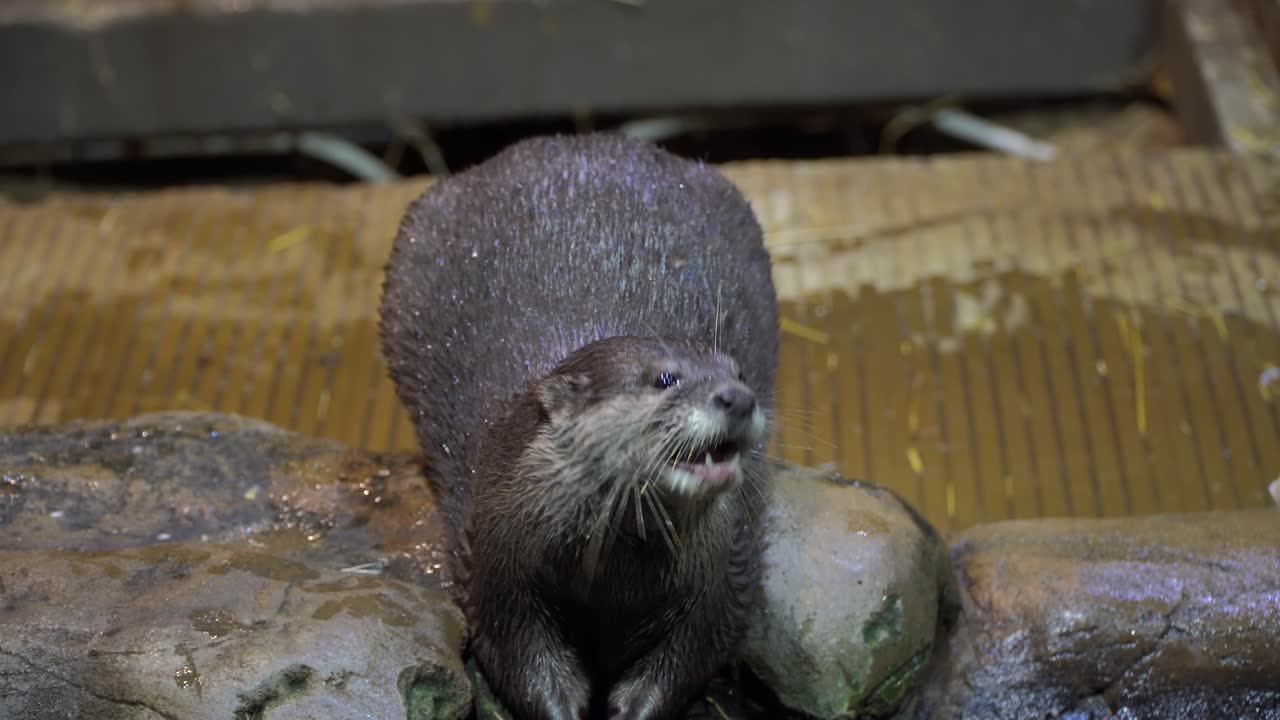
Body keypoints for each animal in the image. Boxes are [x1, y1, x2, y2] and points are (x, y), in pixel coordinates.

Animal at [378, 133, 779, 720]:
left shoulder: (723, 568)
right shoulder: (495, 554)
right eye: (665, 378)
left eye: (740, 372)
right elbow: (517, 651)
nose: (738, 398)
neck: (611, 578)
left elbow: (689, 655)